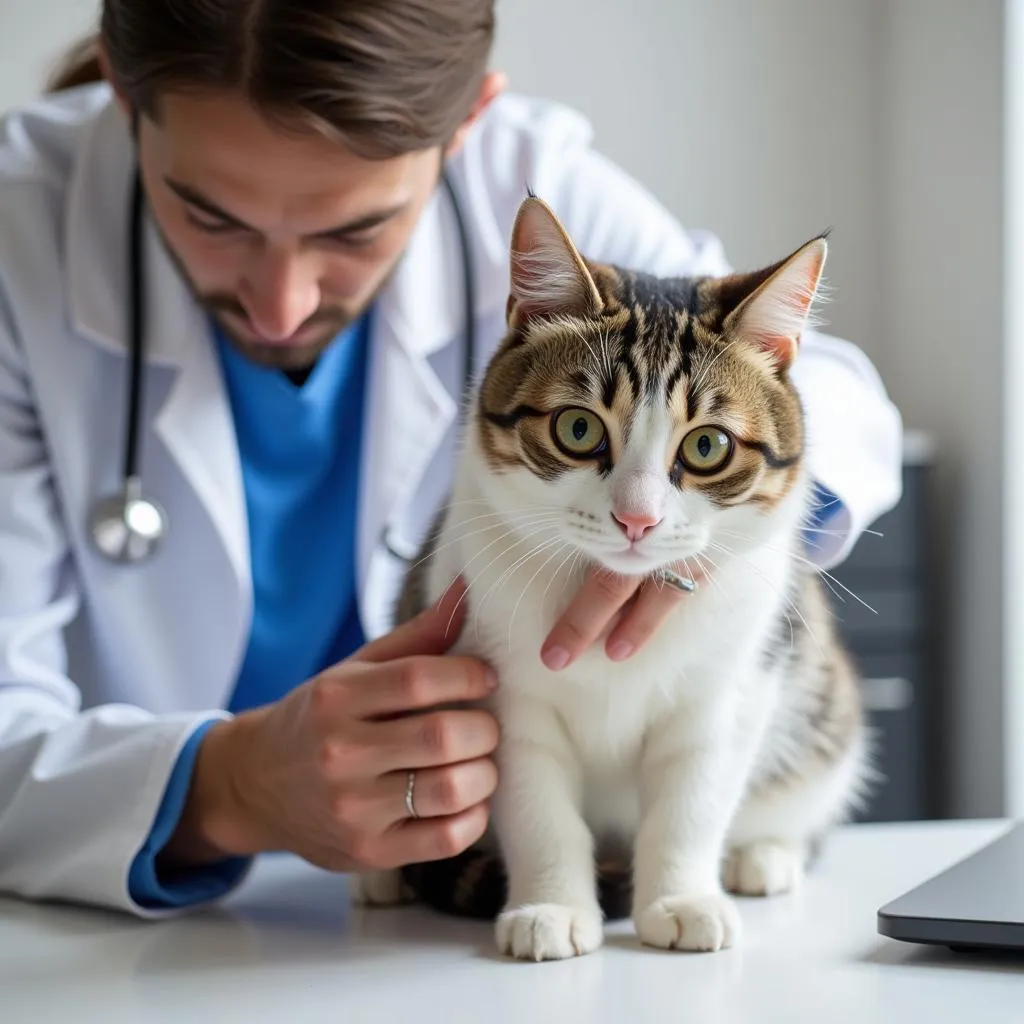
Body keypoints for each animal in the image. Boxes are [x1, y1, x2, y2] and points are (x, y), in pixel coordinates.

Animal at [350, 192, 864, 958]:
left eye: (707, 446)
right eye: (578, 429)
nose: (637, 519)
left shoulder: (726, 689)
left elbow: (691, 802)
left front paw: (681, 898)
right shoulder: (500, 687)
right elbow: (539, 809)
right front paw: (552, 907)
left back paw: (764, 855)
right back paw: (380, 875)